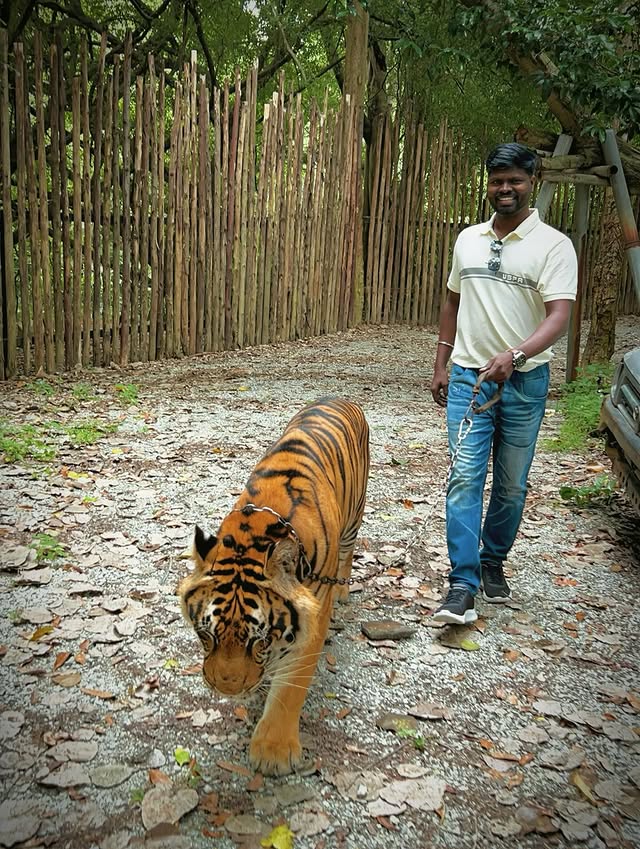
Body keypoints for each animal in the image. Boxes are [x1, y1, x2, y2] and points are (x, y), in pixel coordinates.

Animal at [179, 397, 370, 776]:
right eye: (206, 635)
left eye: (261, 641)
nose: (226, 689)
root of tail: (341, 397)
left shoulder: (313, 619)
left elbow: (290, 686)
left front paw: (273, 751)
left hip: (354, 517)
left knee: (350, 550)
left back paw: (343, 590)